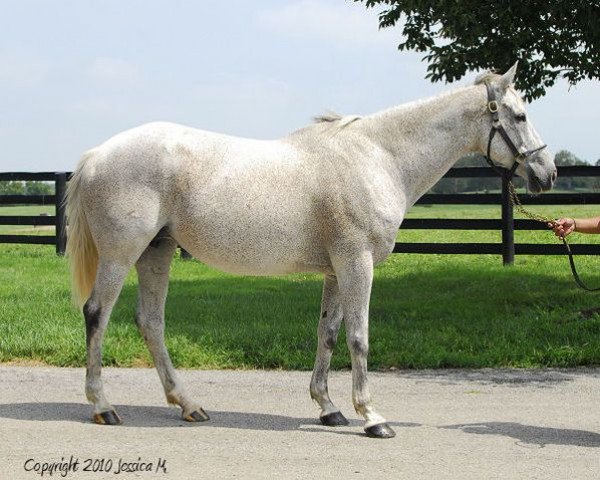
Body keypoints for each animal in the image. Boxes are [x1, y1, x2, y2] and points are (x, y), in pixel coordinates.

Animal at [67, 63, 556, 438]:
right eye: (519, 114)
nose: (547, 173)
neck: (379, 158)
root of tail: (96, 155)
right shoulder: (357, 264)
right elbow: (359, 337)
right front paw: (372, 417)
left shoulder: (336, 270)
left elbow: (329, 334)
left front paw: (329, 408)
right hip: (122, 254)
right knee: (97, 314)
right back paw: (103, 406)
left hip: (158, 251)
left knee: (151, 322)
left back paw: (188, 404)